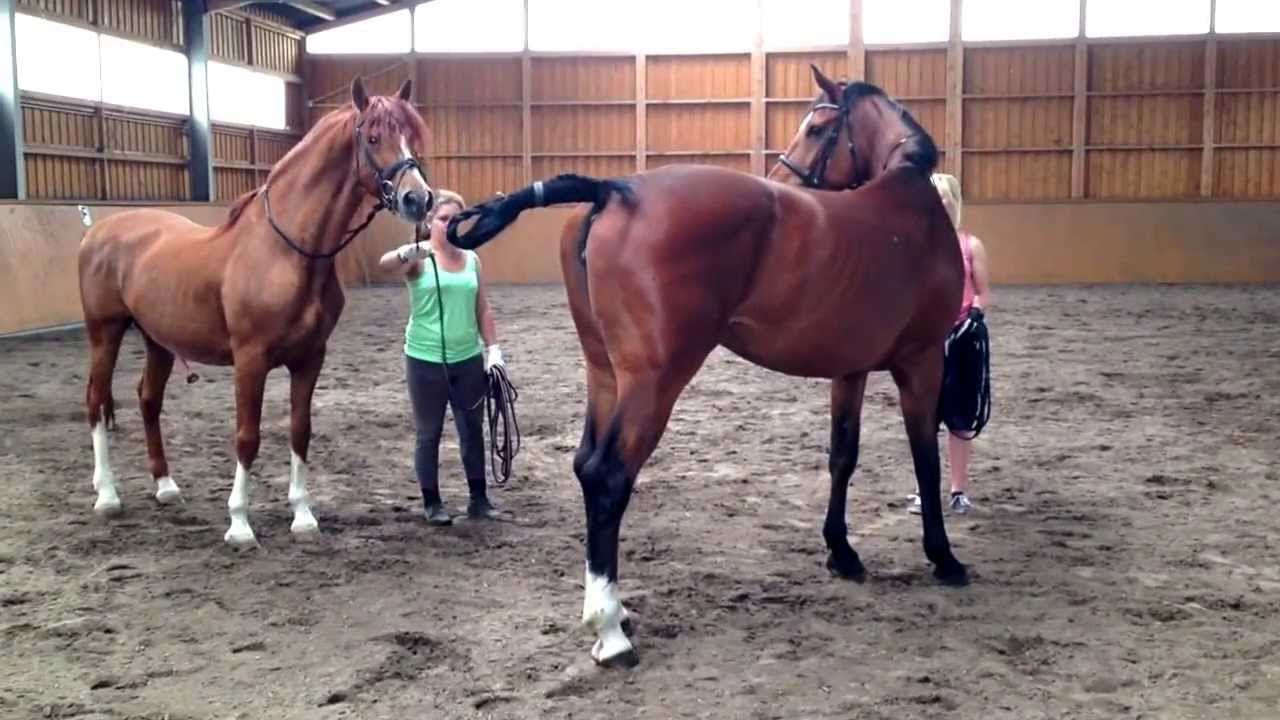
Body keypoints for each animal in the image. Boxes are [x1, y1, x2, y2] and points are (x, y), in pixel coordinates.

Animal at [81, 75, 440, 543]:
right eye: (374, 137)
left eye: (412, 137)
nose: (418, 199)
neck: (287, 251)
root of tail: (99, 231)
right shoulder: (250, 360)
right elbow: (247, 436)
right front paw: (239, 523)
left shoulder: (310, 359)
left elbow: (300, 430)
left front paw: (303, 516)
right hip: (104, 332)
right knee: (96, 401)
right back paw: (107, 495)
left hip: (157, 340)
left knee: (148, 400)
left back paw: (165, 486)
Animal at [445, 70, 962, 666]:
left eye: (817, 127)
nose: (783, 177)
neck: (907, 208)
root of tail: (615, 189)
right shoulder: (923, 360)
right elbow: (926, 459)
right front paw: (943, 556)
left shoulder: (850, 370)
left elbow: (843, 457)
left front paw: (843, 552)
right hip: (655, 381)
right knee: (607, 476)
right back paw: (610, 629)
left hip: (605, 373)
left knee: (584, 464)